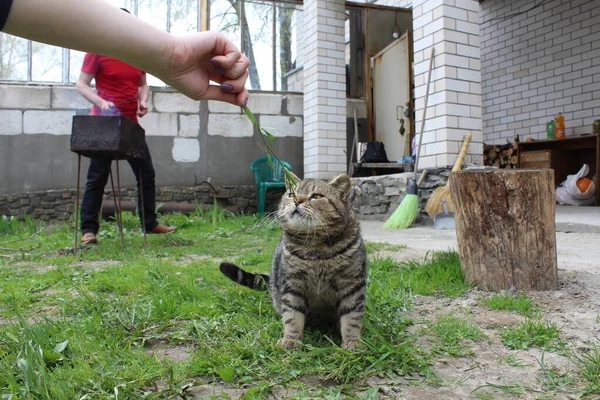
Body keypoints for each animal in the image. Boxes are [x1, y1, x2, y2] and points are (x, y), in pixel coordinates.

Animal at [220, 173, 366, 348]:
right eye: (291, 195)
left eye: (316, 196)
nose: (297, 201)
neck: (315, 249)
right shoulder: (292, 286)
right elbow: (293, 317)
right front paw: (290, 339)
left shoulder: (352, 286)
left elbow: (352, 318)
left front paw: (352, 342)